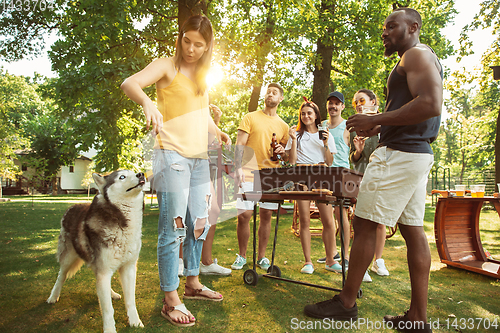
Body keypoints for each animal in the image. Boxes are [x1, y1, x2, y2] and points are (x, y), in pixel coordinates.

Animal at [47, 170, 146, 330]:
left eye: (133, 171)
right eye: (122, 177)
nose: (141, 174)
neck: (122, 223)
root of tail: (71, 207)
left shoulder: (128, 268)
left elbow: (131, 300)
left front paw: (135, 321)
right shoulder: (104, 270)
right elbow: (108, 309)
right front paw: (110, 329)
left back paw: (111, 294)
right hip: (69, 257)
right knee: (61, 275)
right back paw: (53, 296)